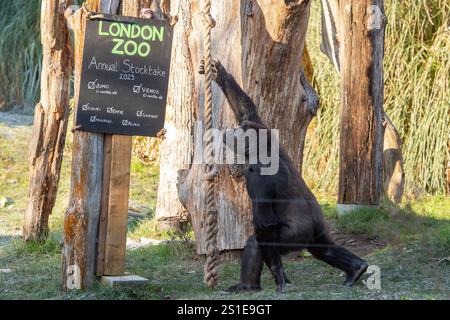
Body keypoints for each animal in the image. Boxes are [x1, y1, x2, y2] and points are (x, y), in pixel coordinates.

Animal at [199, 59, 368, 292]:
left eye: (240, 132)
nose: (232, 130)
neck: (262, 151)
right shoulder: (266, 129)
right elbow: (247, 109)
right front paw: (220, 74)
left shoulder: (256, 175)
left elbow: (265, 224)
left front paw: (278, 273)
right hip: (318, 230)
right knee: (323, 248)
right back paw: (355, 268)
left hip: (293, 236)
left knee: (256, 241)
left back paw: (249, 285)